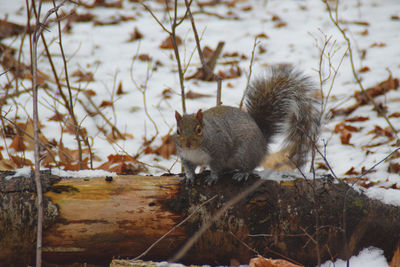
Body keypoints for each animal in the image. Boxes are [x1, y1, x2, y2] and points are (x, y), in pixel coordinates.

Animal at [173, 64, 320, 185]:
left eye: (198, 130)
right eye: (178, 131)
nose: (187, 144)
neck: (195, 150)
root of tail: (262, 143)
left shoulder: (219, 151)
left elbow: (216, 167)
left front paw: (213, 177)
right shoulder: (186, 157)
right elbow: (189, 168)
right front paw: (189, 177)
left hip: (246, 153)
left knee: (250, 166)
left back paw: (242, 173)